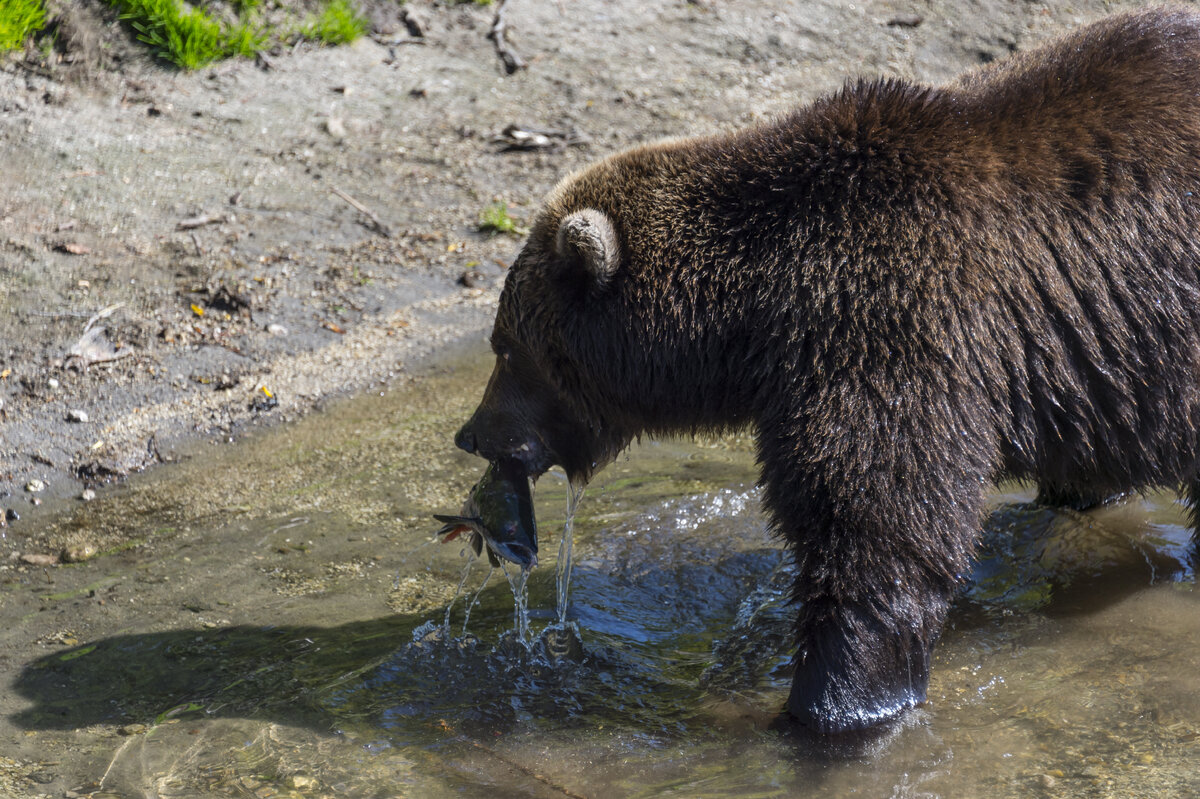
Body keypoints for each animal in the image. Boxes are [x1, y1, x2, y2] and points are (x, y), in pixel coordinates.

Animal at [451, 3, 1200, 729]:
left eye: (506, 346)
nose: (473, 434)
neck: (750, 313)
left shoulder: (887, 326)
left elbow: (876, 525)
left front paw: (833, 704)